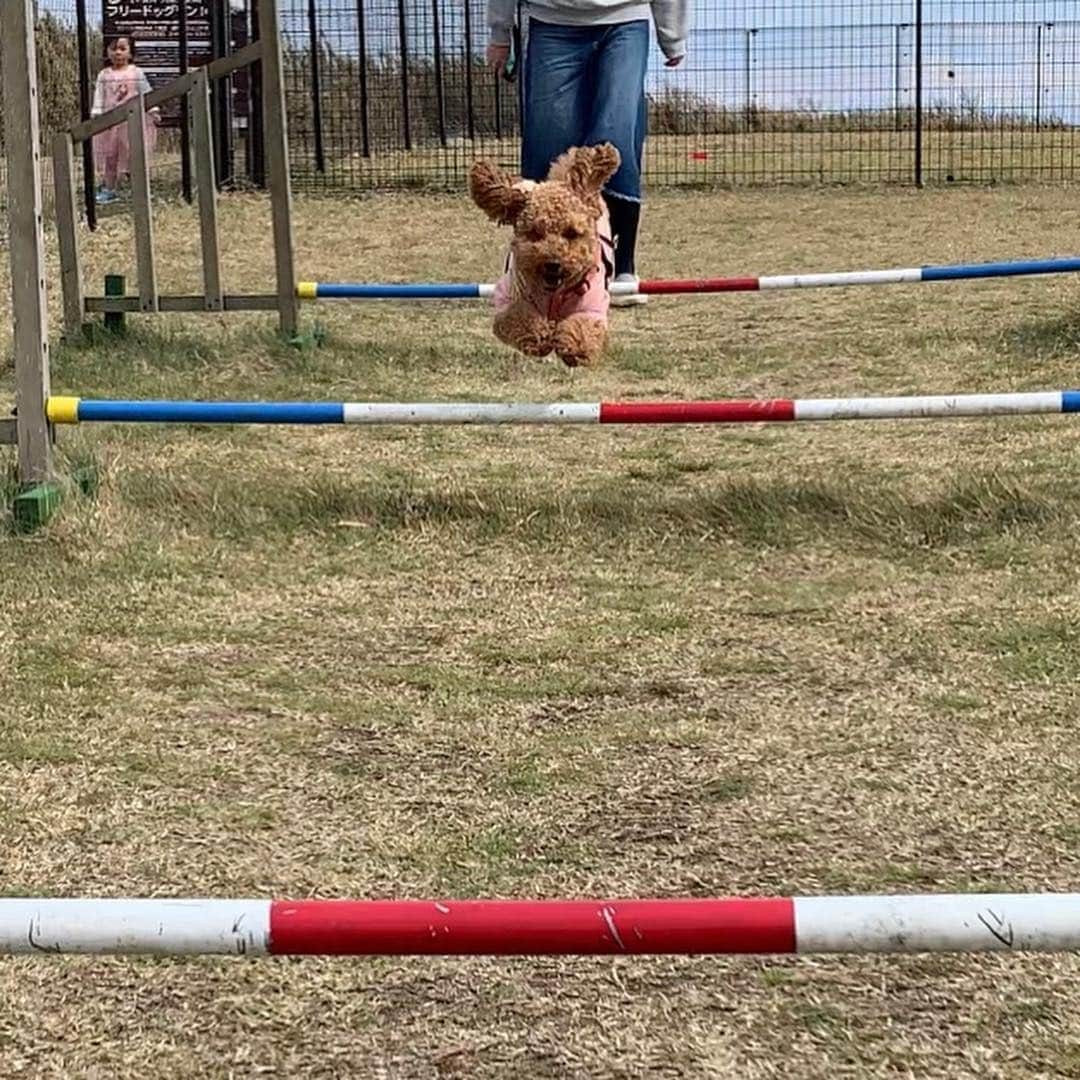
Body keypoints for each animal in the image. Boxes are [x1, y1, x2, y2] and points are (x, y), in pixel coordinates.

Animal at [468, 143, 622, 367]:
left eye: (572, 233)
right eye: (534, 233)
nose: (552, 263)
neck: (554, 293)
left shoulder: (590, 303)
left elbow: (583, 327)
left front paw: (574, 348)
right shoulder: (510, 298)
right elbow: (519, 318)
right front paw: (539, 338)